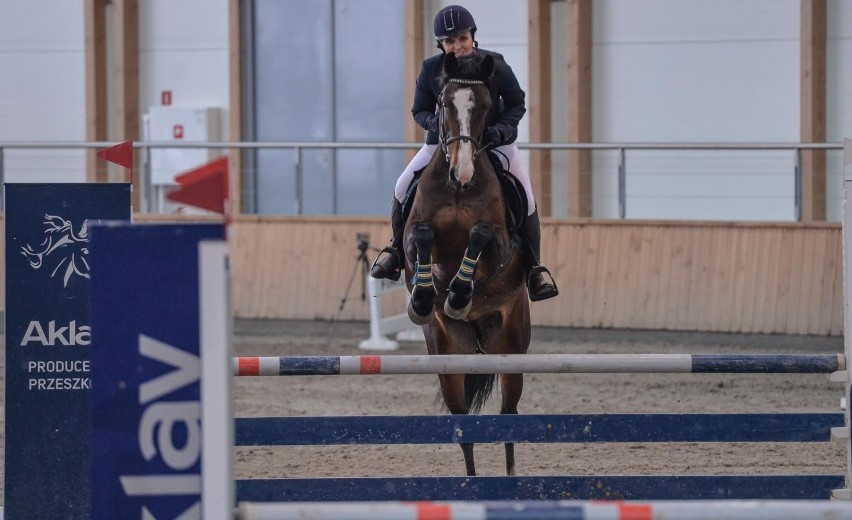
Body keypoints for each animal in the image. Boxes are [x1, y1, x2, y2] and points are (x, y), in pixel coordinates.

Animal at [402, 51, 528, 476]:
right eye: (443, 103)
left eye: (487, 106)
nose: (463, 172)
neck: (457, 189)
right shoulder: (413, 236)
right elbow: (422, 239)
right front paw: (425, 299)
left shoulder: (501, 246)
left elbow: (480, 235)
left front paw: (458, 294)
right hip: (447, 357)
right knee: (463, 427)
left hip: (511, 348)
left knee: (510, 418)